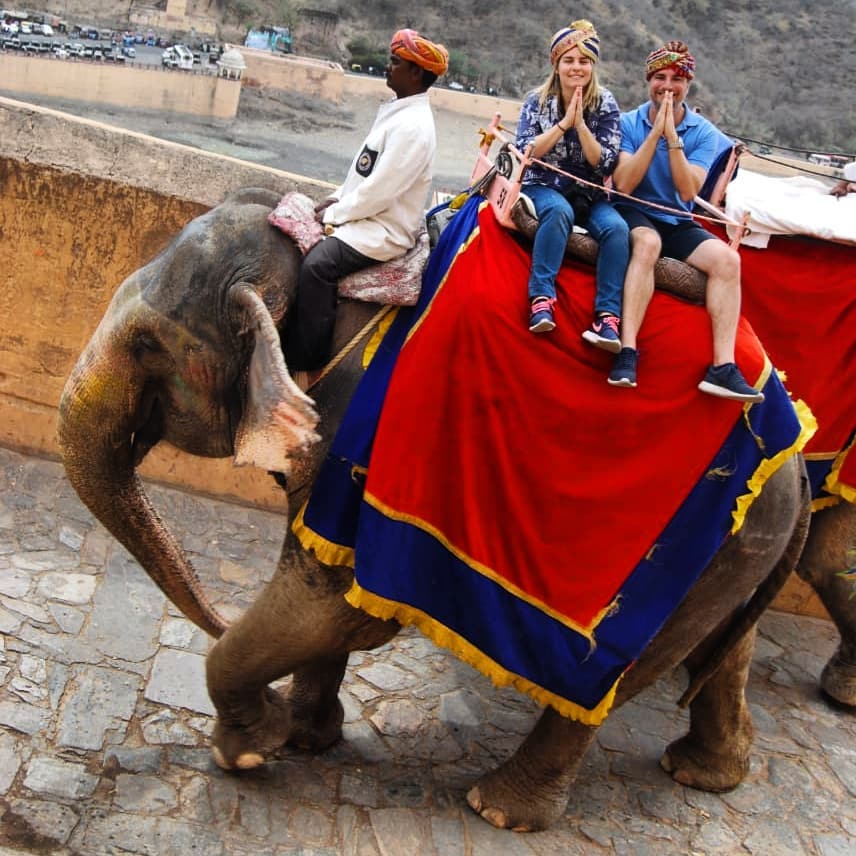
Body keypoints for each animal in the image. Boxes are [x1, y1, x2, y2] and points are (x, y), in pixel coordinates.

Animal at [56, 186, 852, 828]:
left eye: (148, 346)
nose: (217, 613)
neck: (318, 262)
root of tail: (791, 439)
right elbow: (322, 562)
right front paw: (307, 735)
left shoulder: (376, 422)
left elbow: (339, 604)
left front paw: (251, 750)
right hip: (738, 542)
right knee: (722, 642)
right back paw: (703, 773)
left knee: (618, 679)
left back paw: (498, 809)